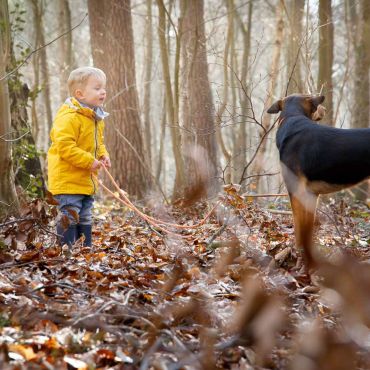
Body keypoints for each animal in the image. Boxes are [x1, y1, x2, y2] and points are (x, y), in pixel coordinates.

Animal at [268, 92, 370, 266]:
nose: (325, 109)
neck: (292, 117)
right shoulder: (311, 195)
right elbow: (307, 227)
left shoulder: (296, 192)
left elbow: (298, 226)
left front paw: (298, 252)